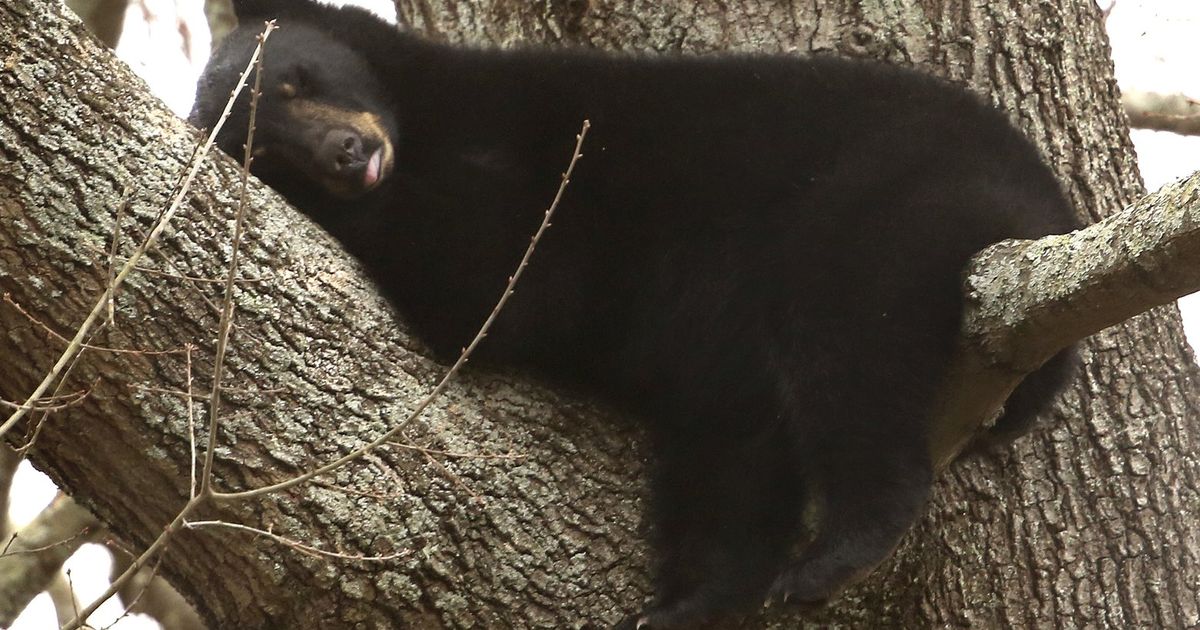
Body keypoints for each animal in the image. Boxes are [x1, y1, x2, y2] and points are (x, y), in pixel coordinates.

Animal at [190, 1, 1080, 627]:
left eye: (300, 80)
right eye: (262, 147)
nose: (346, 157)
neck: (438, 121)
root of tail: (1046, 205)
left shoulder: (550, 147)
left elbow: (504, 278)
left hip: (889, 206)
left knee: (848, 356)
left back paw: (842, 549)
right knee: (729, 449)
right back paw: (695, 602)